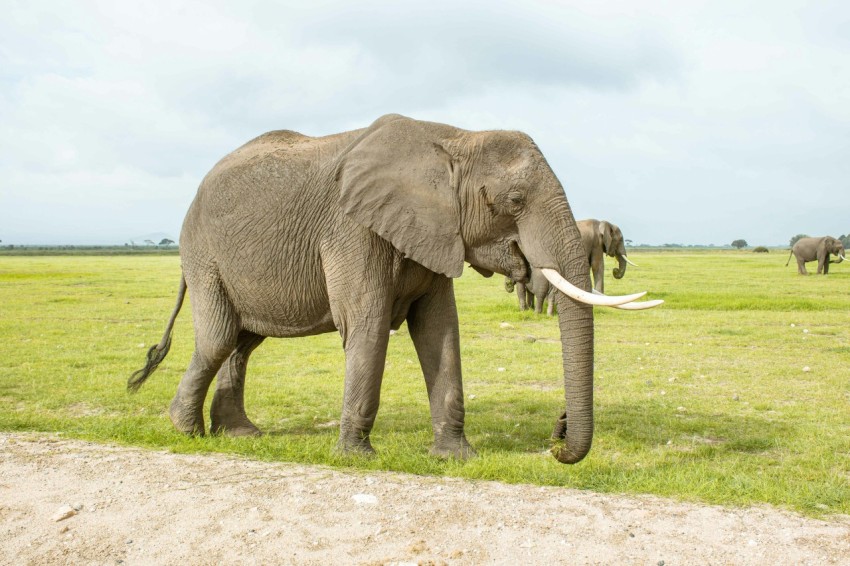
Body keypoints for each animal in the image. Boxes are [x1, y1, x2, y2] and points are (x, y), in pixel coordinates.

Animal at [129, 114, 660, 465]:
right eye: (513, 200)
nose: (558, 431)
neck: (453, 139)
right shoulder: (352, 228)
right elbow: (365, 325)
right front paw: (356, 458)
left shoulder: (435, 233)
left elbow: (440, 330)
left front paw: (456, 457)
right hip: (204, 255)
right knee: (220, 337)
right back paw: (185, 430)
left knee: (243, 342)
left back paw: (240, 435)